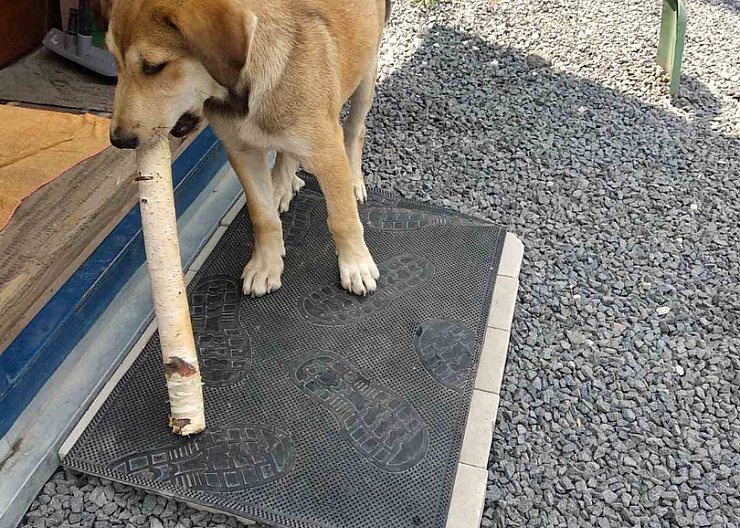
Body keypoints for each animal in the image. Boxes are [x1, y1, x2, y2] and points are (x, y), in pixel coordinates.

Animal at [102, 0, 391, 297]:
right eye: (115, 62)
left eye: (153, 67)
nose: (118, 140)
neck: (244, 97)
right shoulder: (242, 152)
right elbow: (262, 216)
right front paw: (266, 265)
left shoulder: (328, 153)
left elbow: (343, 218)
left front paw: (356, 264)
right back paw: (281, 185)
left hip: (366, 75)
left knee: (356, 130)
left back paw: (354, 182)